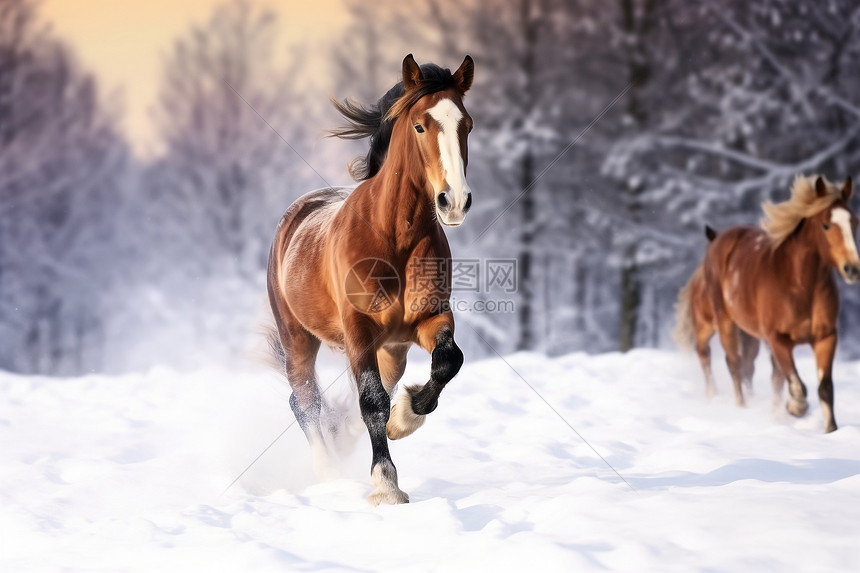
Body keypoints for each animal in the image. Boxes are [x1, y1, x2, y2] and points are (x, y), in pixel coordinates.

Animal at [266, 52, 474, 500]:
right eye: (420, 125)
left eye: (466, 124)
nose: (454, 202)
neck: (393, 236)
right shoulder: (358, 330)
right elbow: (372, 400)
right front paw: (386, 486)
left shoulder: (429, 319)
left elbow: (448, 361)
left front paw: (405, 418)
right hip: (297, 338)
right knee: (304, 400)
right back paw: (327, 472)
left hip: (392, 351)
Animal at [680, 177, 856, 432]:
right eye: (826, 225)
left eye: (854, 222)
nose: (852, 269)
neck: (800, 285)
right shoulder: (778, 339)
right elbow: (795, 383)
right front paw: (795, 409)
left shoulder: (826, 337)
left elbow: (823, 388)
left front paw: (830, 430)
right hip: (720, 324)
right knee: (726, 361)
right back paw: (736, 406)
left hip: (748, 334)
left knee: (745, 367)